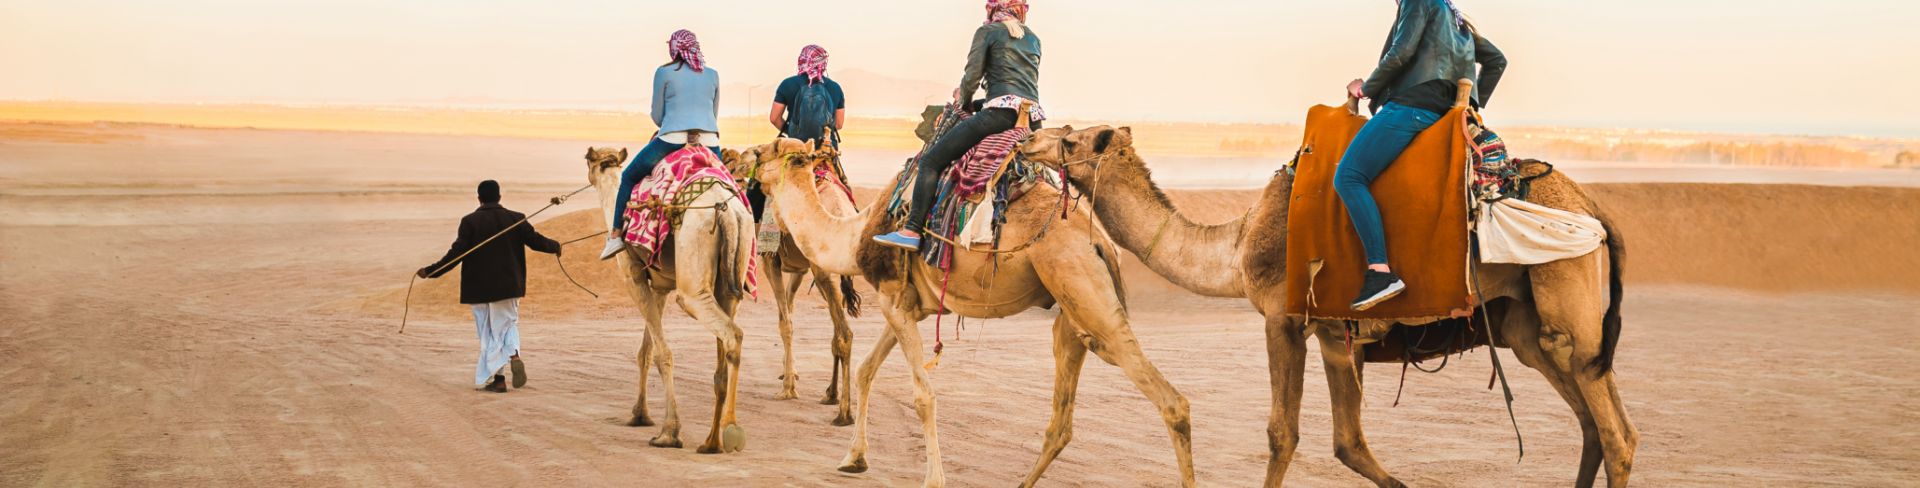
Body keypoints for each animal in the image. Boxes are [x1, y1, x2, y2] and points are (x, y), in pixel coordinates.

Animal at [583, 147, 757, 454]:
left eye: (588, 161)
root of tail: (725, 211)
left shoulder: (633, 278)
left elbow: (662, 354)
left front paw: (668, 432)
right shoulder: (661, 286)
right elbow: (645, 351)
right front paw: (639, 415)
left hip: (693, 286)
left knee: (732, 334)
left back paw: (731, 429)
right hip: (731, 277)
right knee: (724, 352)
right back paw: (711, 441)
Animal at [720, 144, 861, 426]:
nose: (742, 166)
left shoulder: (770, 261)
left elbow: (784, 322)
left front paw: (788, 388)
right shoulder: (799, 269)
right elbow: (791, 312)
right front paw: (791, 373)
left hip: (822, 274)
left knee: (843, 333)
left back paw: (844, 411)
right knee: (837, 332)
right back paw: (831, 394)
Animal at [746, 137, 1198, 487]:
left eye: (768, 150)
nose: (741, 154)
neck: (855, 233)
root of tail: (1101, 241)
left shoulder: (893, 299)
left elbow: (923, 395)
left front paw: (933, 478)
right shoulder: (908, 305)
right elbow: (866, 370)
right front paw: (854, 458)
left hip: (1084, 292)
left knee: (1171, 402)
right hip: (1073, 310)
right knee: (1063, 418)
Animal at [1020, 117, 1636, 487]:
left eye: (1070, 138)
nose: (1026, 140)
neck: (1238, 244)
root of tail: (1594, 208)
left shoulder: (1283, 318)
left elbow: (1282, 434)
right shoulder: (1336, 334)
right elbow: (1348, 443)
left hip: (1567, 300)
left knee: (1616, 434)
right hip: (1523, 326)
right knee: (1591, 423)